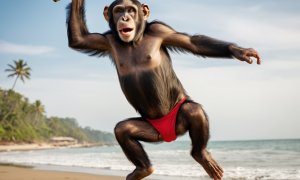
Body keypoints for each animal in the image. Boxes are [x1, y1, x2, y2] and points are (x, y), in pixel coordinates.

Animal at [65, 0, 260, 180]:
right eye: (118, 10)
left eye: (131, 10)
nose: (124, 17)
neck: (134, 41)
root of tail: (171, 135)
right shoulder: (106, 40)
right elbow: (80, 39)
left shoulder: (161, 30)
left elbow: (193, 43)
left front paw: (239, 51)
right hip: (152, 131)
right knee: (123, 129)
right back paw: (144, 169)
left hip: (178, 120)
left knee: (193, 110)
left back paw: (201, 155)